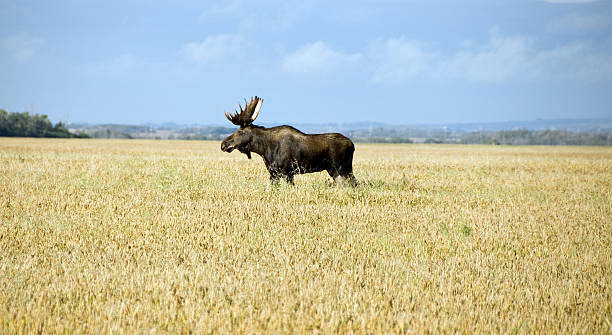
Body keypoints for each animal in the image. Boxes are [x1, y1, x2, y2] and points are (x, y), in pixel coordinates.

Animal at [220, 97, 356, 186]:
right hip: (333, 170)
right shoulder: (273, 173)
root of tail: (352, 145)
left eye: (241, 131)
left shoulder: (287, 172)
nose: (223, 144)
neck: (264, 149)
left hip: (343, 168)